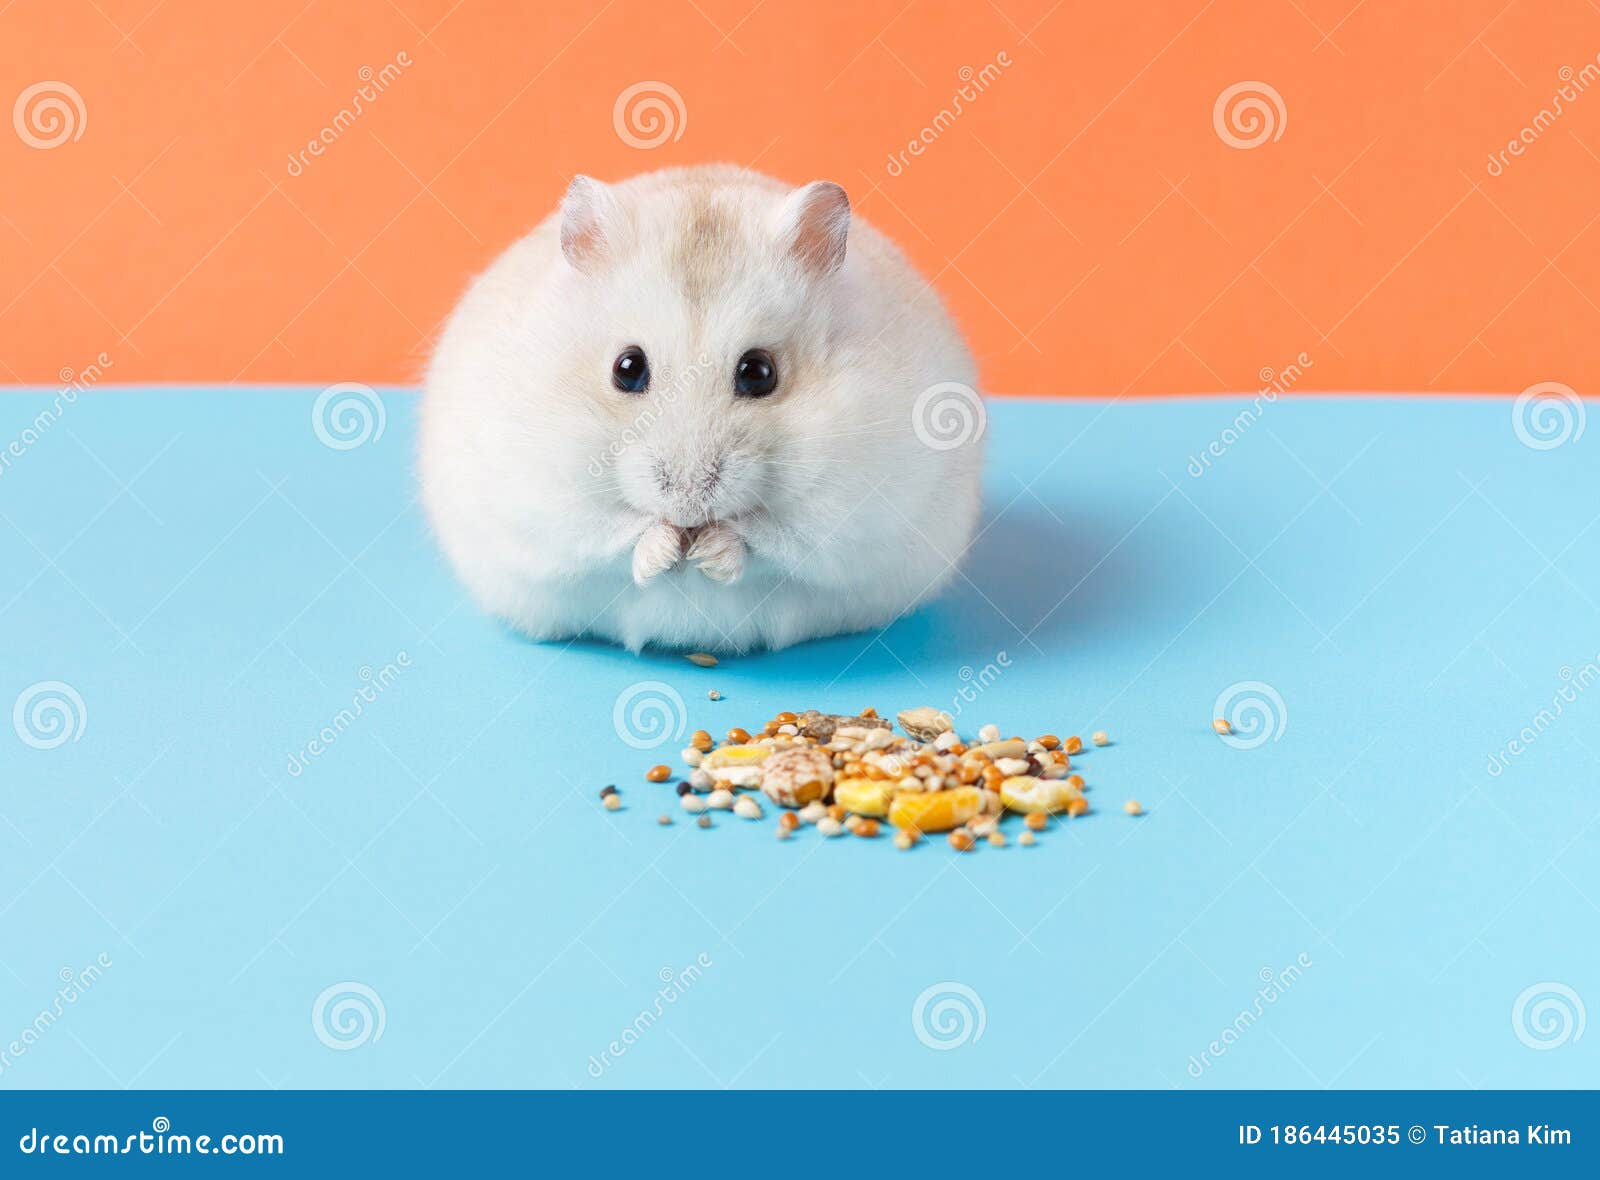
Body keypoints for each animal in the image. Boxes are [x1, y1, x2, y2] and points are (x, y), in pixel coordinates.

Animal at [419, 164, 984, 653]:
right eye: (627, 368)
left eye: (758, 372)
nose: (689, 506)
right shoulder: (542, 498)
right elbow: (612, 531)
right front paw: (666, 551)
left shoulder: (855, 509)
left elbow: (773, 538)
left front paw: (710, 552)